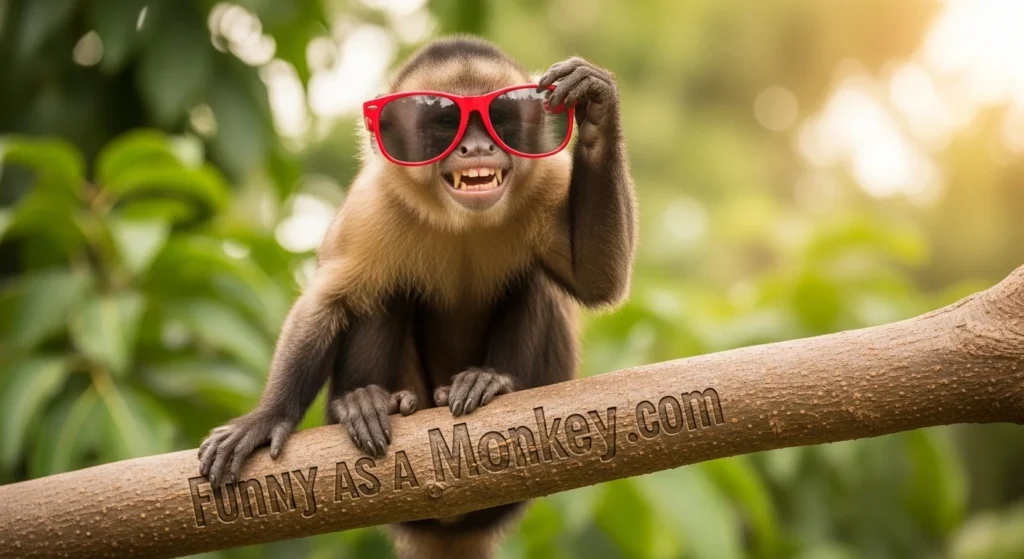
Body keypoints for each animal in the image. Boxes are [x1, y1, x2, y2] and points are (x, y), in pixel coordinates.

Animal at [197, 35, 637, 558]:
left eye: (502, 118)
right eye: (444, 125)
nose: (476, 147)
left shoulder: (545, 178)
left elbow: (595, 280)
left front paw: (595, 107)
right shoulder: (370, 206)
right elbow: (327, 303)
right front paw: (267, 419)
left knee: (531, 279)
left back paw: (493, 381)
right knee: (384, 292)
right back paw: (365, 403)